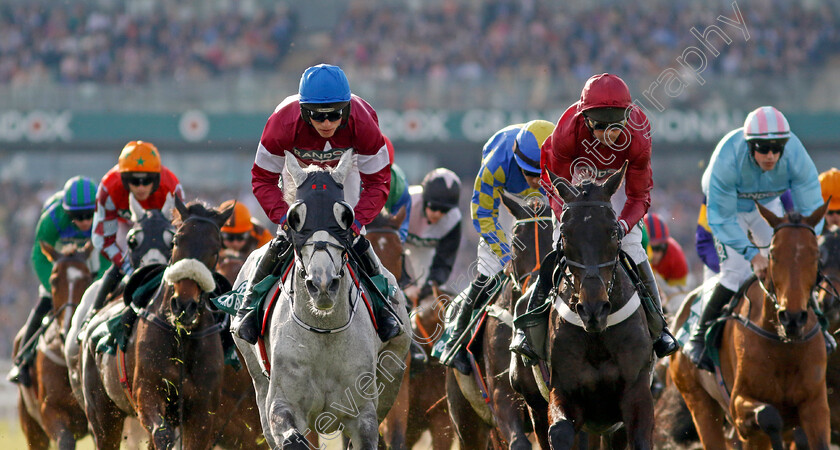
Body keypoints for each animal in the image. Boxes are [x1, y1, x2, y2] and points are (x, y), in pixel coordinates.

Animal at [15, 243, 94, 450]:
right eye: (54, 280)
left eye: (88, 278)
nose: (68, 328)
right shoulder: (49, 410)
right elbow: (65, 440)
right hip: (31, 426)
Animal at [78, 200, 233, 450]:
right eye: (177, 241)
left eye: (216, 247)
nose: (184, 305)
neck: (182, 337)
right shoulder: (148, 393)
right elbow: (162, 435)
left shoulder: (203, 412)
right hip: (102, 414)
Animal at [233, 152, 410, 450]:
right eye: (295, 217)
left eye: (345, 216)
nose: (322, 285)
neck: (324, 331)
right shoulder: (282, 404)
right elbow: (291, 436)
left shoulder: (363, 414)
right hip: (256, 376)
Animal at [512, 163, 656, 448]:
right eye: (565, 234)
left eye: (613, 231)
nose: (593, 310)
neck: (598, 337)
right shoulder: (564, 390)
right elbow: (560, 431)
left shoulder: (636, 391)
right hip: (534, 403)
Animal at [668, 203, 832, 450]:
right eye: (773, 255)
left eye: (816, 256)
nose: (792, 318)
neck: (784, 346)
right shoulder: (738, 405)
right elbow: (769, 416)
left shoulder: (816, 406)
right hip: (698, 402)